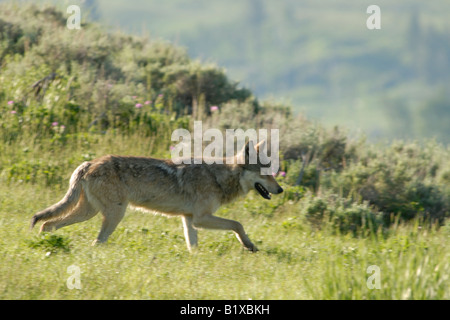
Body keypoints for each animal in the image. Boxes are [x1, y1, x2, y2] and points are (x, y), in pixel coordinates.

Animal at [30, 141, 282, 251]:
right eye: (266, 174)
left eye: (273, 173)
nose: (280, 190)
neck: (219, 177)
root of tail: (89, 162)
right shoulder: (202, 218)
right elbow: (238, 224)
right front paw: (249, 245)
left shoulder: (189, 220)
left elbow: (193, 247)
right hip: (114, 215)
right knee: (96, 241)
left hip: (88, 213)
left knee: (48, 224)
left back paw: (45, 245)